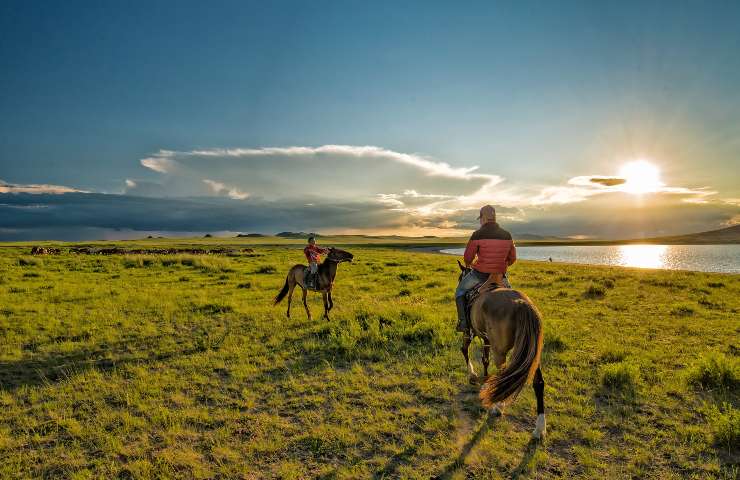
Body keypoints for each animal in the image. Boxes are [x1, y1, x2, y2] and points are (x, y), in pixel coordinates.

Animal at [454, 260, 548, 440]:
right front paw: (485, 382)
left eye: (460, 277)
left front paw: (473, 375)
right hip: (533, 354)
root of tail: (522, 304)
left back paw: (497, 407)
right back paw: (539, 428)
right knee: (538, 382)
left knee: (504, 375)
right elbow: (485, 360)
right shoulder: (486, 339)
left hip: (500, 351)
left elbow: (464, 350)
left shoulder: (470, 332)